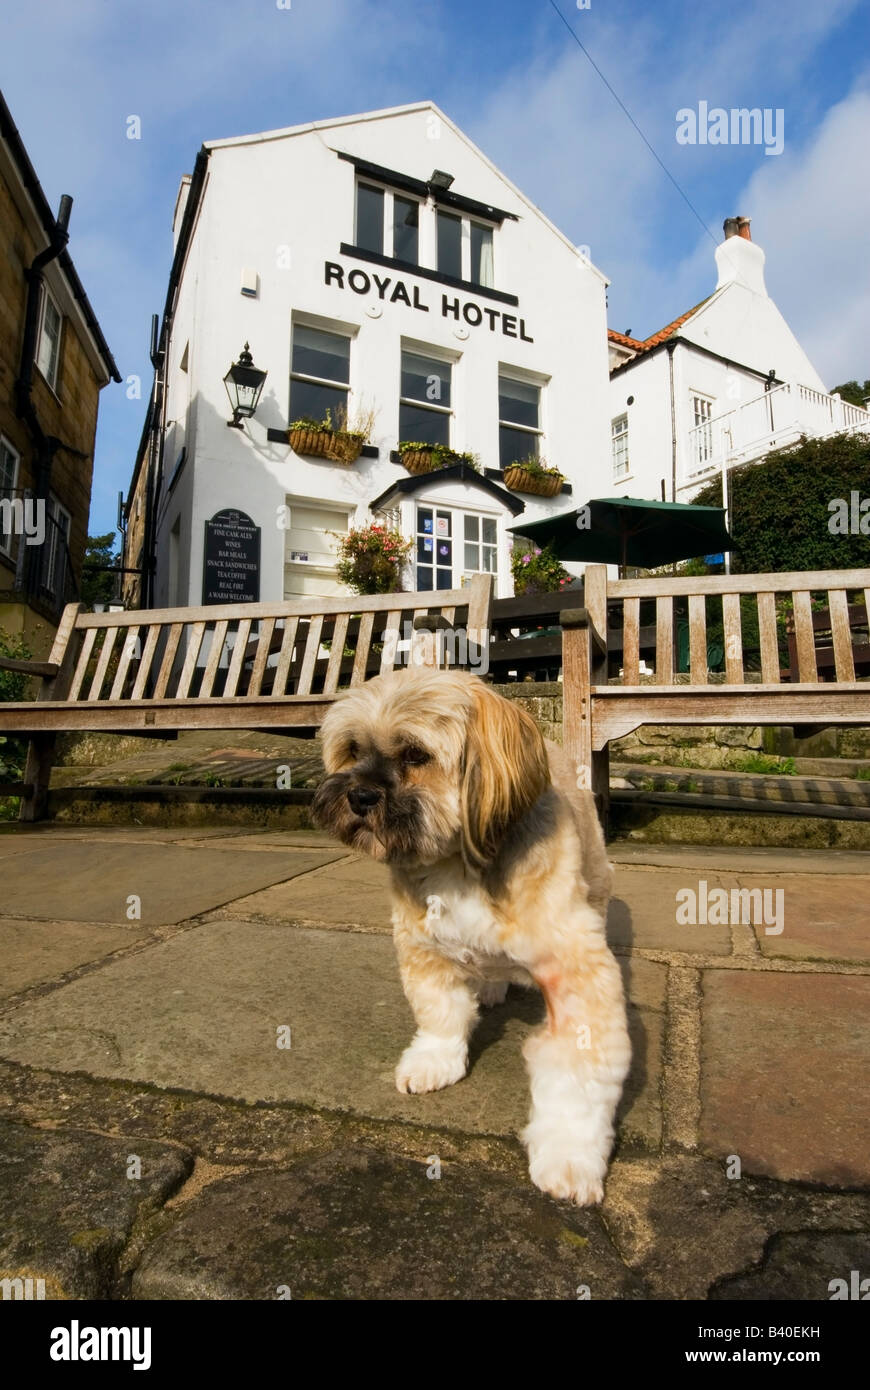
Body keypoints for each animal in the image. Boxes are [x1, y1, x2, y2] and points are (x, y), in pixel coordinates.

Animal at [308, 664, 625, 1206]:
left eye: (416, 755)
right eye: (352, 750)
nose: (359, 795)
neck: (458, 860)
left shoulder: (577, 974)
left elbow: (576, 1077)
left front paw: (568, 1155)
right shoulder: (422, 946)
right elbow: (441, 1013)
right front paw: (435, 1060)